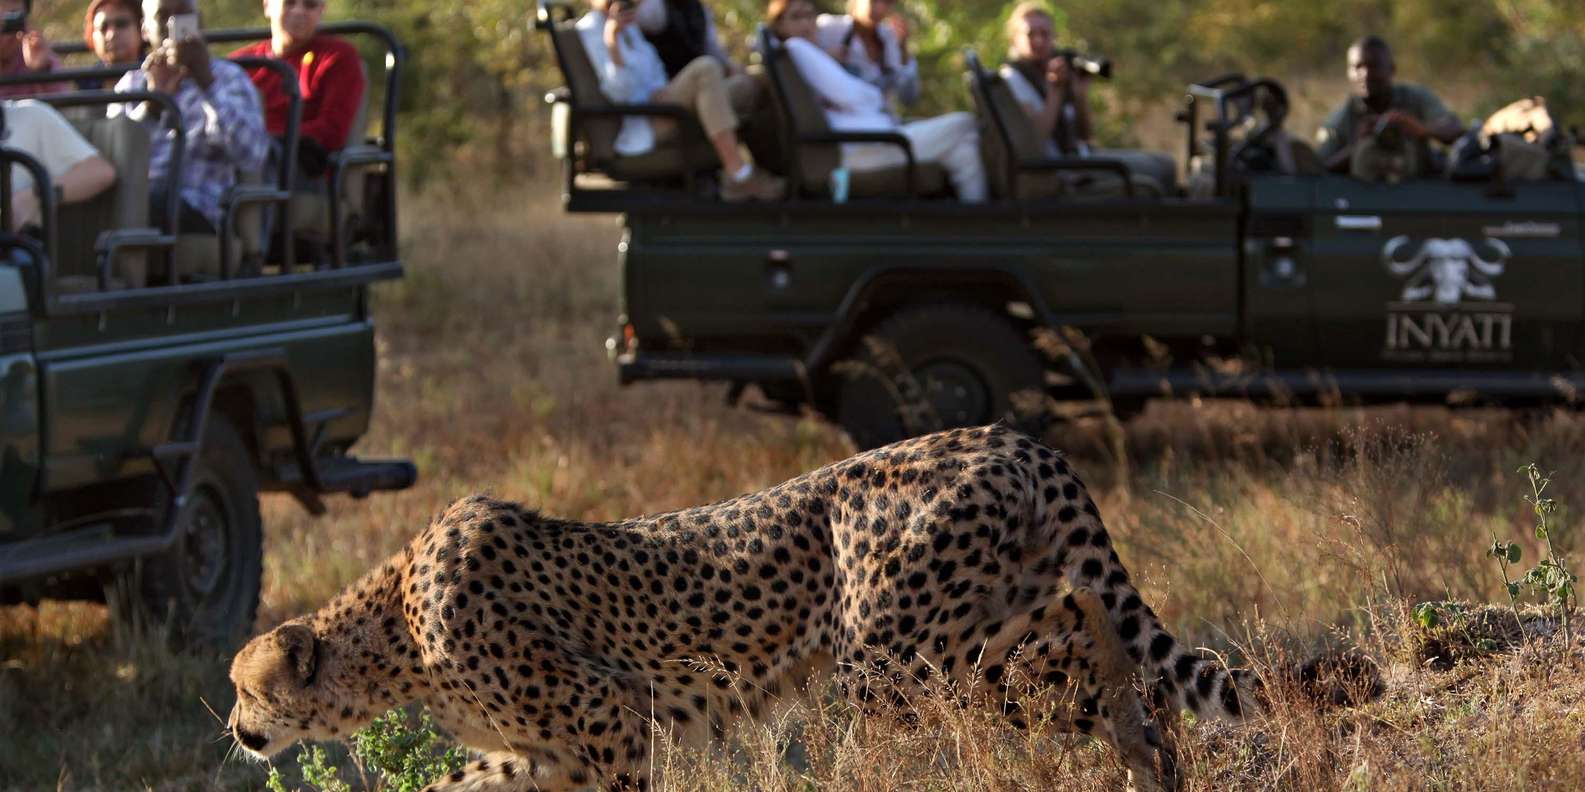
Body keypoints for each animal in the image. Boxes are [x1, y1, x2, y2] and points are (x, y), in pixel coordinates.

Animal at [231, 427, 1350, 792]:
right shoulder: (543, 751)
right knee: (1115, 682)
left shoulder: (608, 718)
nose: (238, 733)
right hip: (1000, 634)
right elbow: (455, 780)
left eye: (247, 690)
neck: (393, 631)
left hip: (896, 663)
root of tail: (1007, 435)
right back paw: (1151, 766)